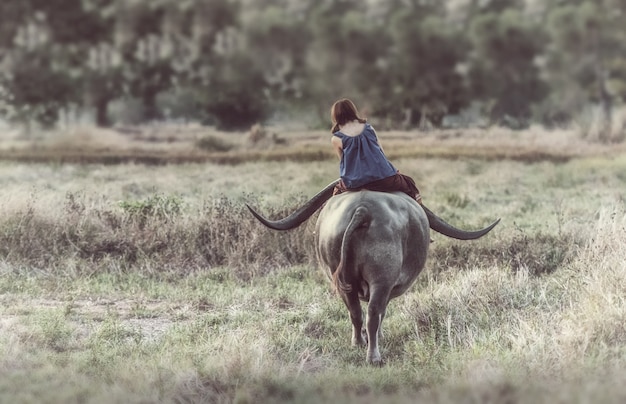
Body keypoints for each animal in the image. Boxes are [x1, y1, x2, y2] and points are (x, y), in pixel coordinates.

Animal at [246, 178, 500, 364]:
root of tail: (362, 210)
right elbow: (382, 313)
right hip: (381, 280)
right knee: (373, 314)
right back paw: (373, 356)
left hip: (343, 280)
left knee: (355, 313)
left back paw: (358, 343)